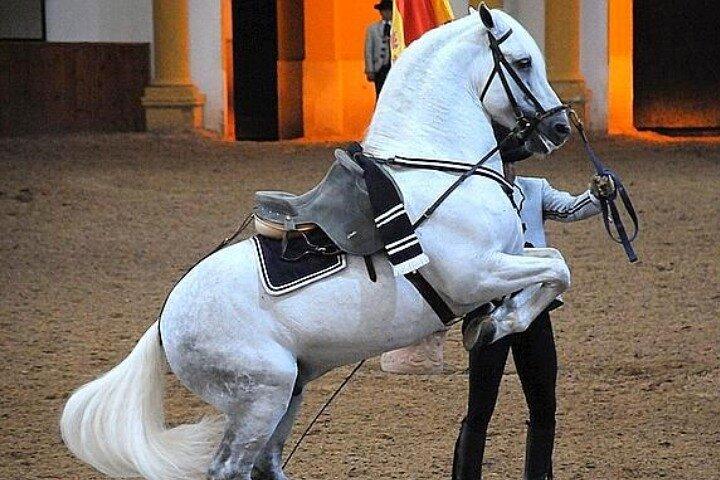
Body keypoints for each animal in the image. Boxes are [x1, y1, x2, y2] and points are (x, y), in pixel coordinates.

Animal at [61, 6, 572, 480]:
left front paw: (495, 320)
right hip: (262, 398)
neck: (440, 170)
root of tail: (165, 323)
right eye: (523, 62)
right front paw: (496, 324)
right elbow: (557, 268)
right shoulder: (476, 273)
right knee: (229, 468)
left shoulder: (505, 259)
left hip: (288, 395)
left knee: (265, 465)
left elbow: (551, 262)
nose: (561, 128)